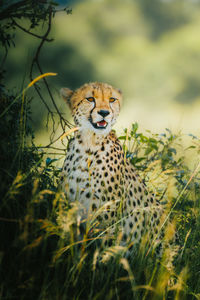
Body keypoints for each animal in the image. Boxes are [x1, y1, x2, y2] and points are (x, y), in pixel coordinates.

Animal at [60, 81, 165, 251]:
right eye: (90, 99)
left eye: (112, 99)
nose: (104, 112)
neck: (88, 144)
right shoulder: (75, 209)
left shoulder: (106, 215)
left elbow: (102, 247)